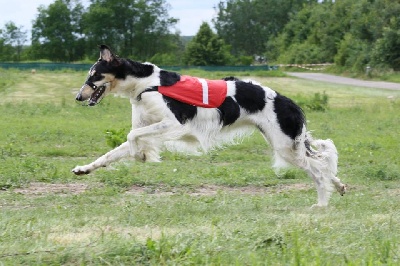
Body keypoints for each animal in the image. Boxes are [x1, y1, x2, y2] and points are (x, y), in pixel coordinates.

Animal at [73, 44, 346, 207]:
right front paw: (84, 169)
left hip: (285, 147)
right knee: (323, 166)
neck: (146, 84)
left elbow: (133, 136)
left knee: (318, 170)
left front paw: (141, 155)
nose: (78, 97)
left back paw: (322, 204)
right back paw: (338, 186)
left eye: (94, 74)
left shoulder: (176, 125)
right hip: (285, 145)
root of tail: (287, 101)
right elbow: (110, 154)